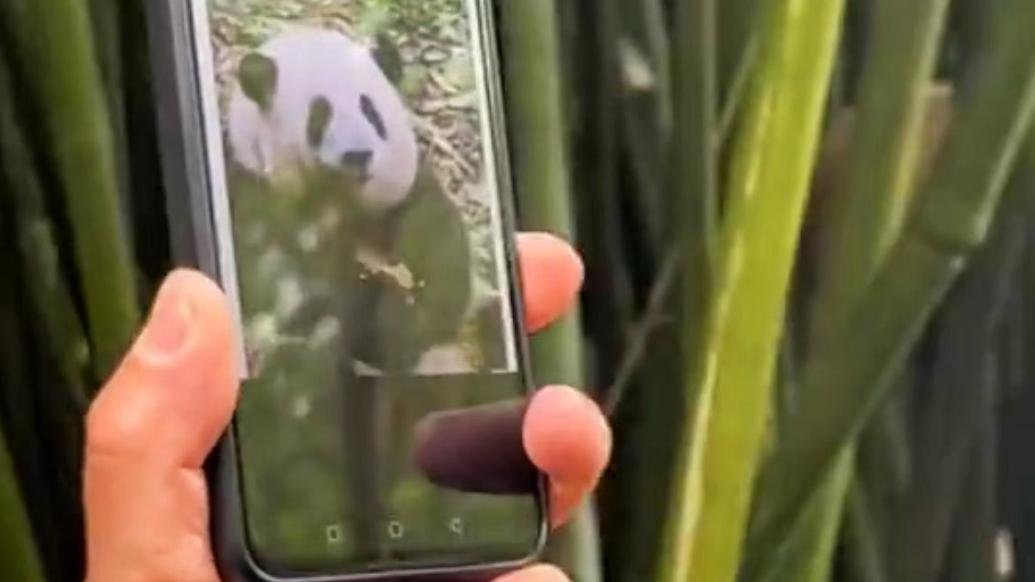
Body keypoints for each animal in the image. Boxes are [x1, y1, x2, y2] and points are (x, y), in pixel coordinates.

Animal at [224, 24, 503, 372]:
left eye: (370, 111)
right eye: (319, 115)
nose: (357, 155)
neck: (343, 202)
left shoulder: (405, 195)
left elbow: (437, 257)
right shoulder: (255, 192)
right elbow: (279, 283)